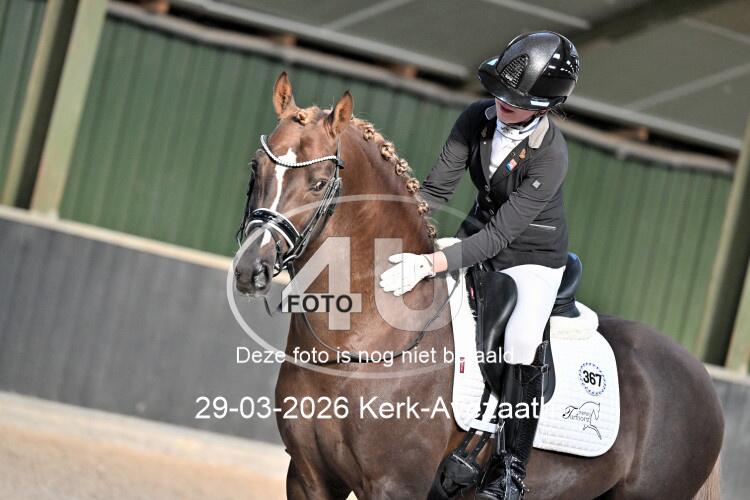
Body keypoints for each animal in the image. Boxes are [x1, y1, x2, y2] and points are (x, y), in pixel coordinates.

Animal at [233, 72, 724, 499]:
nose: (250, 269)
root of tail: (700, 378)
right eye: (256, 167)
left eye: (318, 184)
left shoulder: (394, 487)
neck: (365, 339)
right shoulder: (309, 478)